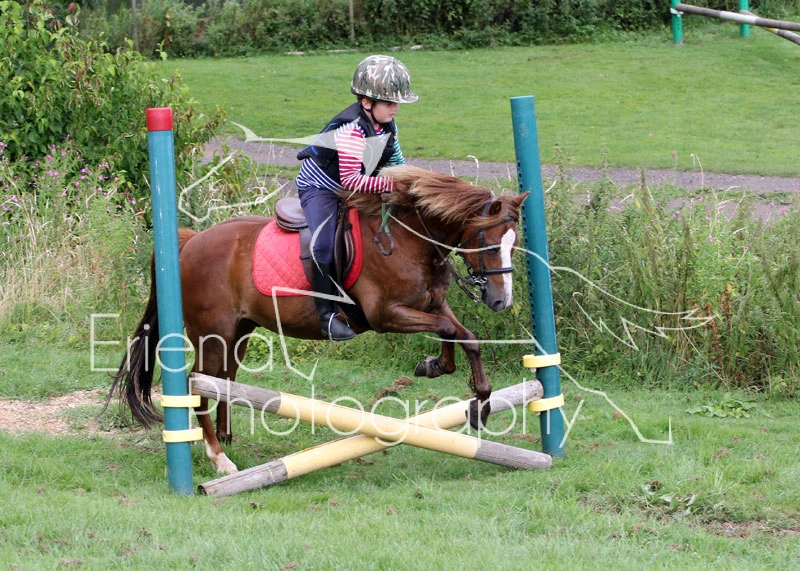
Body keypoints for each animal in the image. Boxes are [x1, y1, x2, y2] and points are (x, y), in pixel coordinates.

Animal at [110, 165, 529, 475]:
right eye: (491, 243)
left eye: (514, 243)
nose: (500, 301)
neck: (413, 239)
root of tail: (190, 242)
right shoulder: (387, 315)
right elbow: (447, 330)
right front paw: (443, 373)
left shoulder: (432, 303)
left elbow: (464, 336)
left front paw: (473, 398)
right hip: (212, 332)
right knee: (198, 386)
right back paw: (220, 459)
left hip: (238, 332)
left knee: (223, 382)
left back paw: (227, 440)